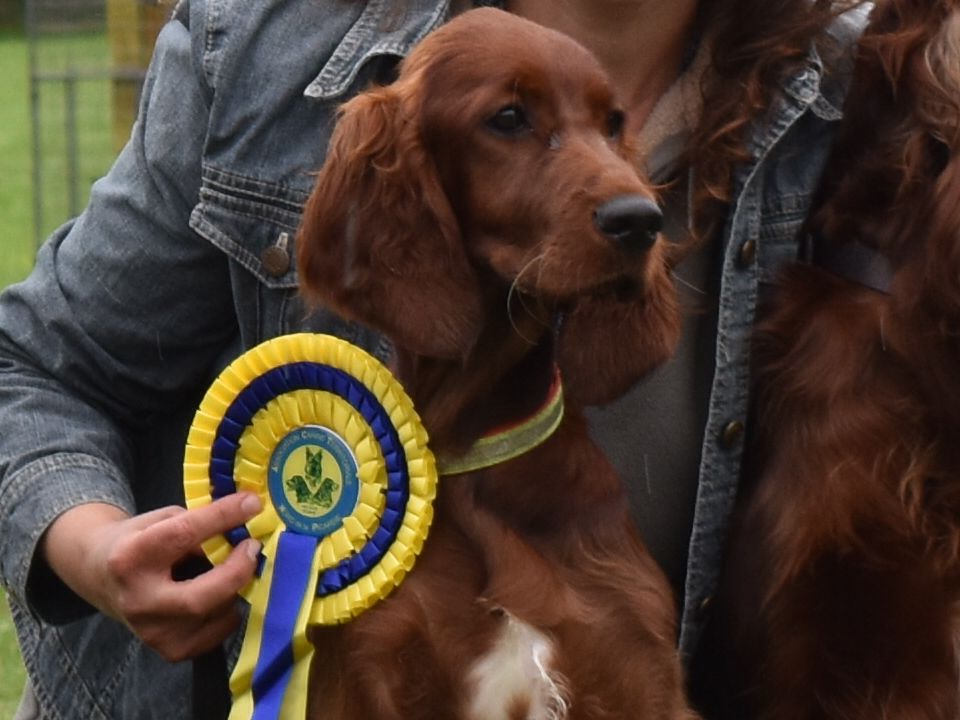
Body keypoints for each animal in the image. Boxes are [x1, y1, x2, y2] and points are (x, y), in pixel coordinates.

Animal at [296, 7, 692, 720]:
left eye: (612, 122)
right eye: (508, 118)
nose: (640, 221)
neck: (476, 447)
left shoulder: (633, 666)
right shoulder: (375, 670)